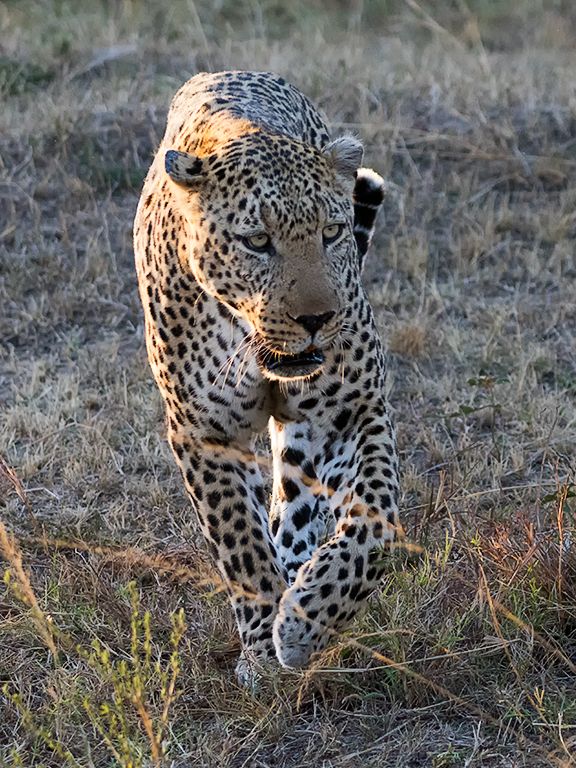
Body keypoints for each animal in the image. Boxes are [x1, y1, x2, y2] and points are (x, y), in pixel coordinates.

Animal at [133, 70, 401, 684]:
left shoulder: (350, 413)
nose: (317, 319)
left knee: (298, 510)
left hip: (308, 442)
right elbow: (240, 541)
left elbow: (375, 521)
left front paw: (308, 620)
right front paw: (261, 643)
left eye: (332, 232)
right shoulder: (203, 434)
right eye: (257, 241)